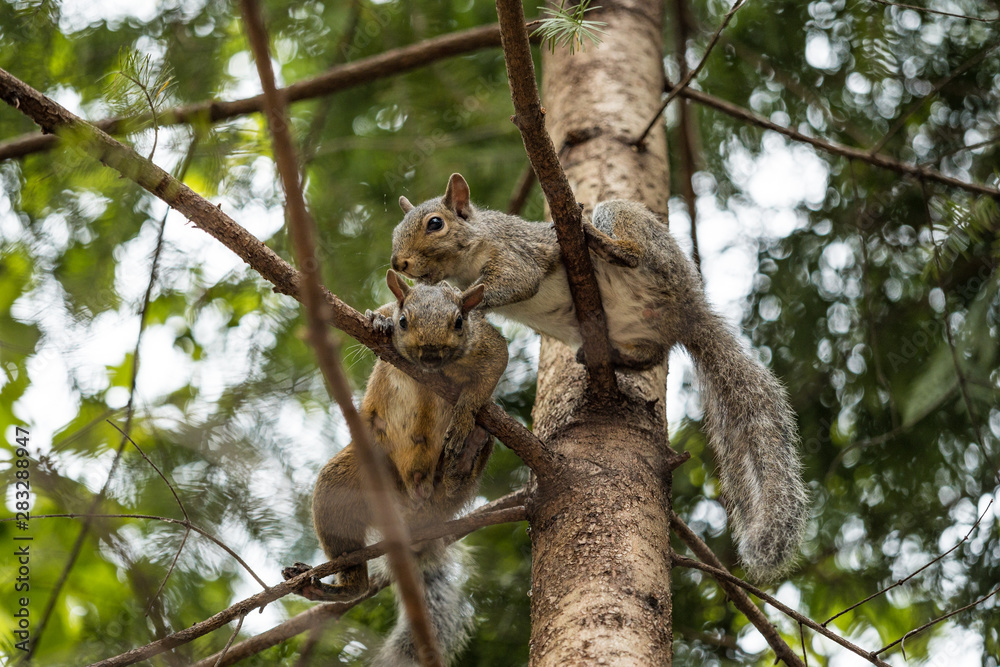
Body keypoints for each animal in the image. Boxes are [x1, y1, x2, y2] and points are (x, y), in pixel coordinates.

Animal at [282, 269, 508, 665]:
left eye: (459, 322)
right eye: (404, 321)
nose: (430, 353)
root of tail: (415, 506)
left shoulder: (485, 342)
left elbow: (493, 365)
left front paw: (465, 414)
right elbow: (378, 313)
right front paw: (379, 320)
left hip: (454, 485)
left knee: (454, 482)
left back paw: (467, 452)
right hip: (351, 480)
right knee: (356, 580)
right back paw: (334, 589)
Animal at [390, 173, 808, 579]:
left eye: (435, 224)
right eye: (397, 229)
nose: (398, 262)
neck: (468, 257)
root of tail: (689, 310)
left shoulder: (516, 253)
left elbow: (517, 281)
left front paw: (466, 303)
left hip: (637, 233)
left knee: (633, 252)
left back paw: (602, 242)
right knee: (651, 355)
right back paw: (603, 354)